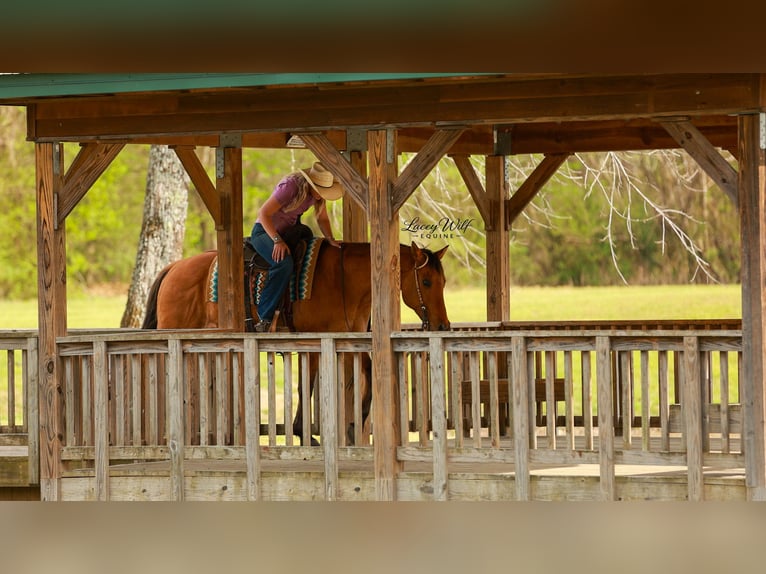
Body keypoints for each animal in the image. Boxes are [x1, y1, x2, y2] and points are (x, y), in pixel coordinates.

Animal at [142, 241, 450, 444]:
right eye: (425, 281)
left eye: (444, 281)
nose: (442, 326)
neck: (343, 281)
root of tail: (174, 267)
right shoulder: (313, 342)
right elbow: (306, 387)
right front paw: (305, 434)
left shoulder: (351, 340)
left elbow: (369, 374)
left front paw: (354, 424)